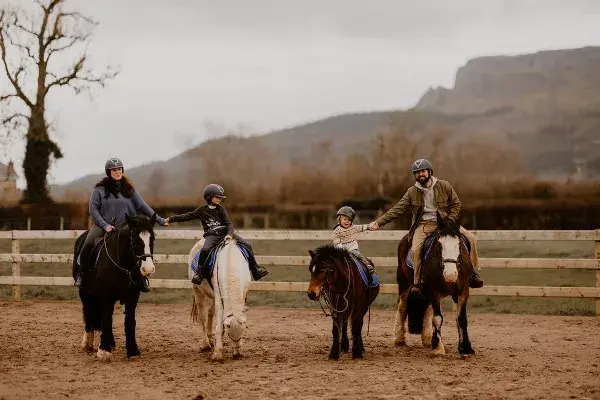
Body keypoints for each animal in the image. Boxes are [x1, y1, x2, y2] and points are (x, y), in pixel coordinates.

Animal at [73, 212, 158, 360]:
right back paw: (87, 342)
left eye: (152, 238)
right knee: (88, 312)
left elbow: (129, 321)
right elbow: (107, 318)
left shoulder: (132, 297)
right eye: (134, 240)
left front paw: (133, 351)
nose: (148, 269)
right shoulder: (106, 296)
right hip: (85, 293)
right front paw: (103, 350)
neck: (123, 266)